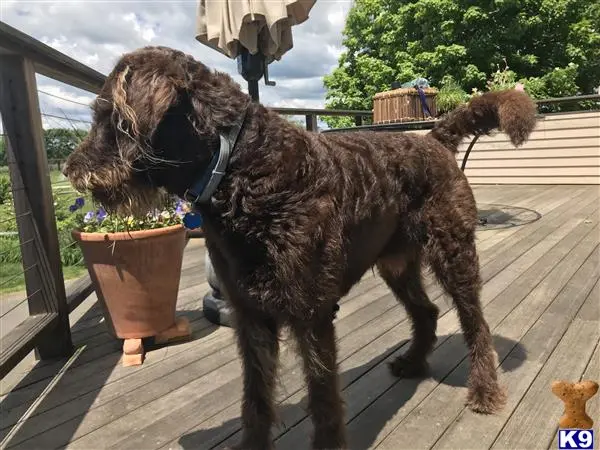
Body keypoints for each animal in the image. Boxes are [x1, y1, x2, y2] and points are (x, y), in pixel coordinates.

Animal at [63, 46, 536, 450]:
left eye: (108, 116)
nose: (69, 169)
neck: (241, 169)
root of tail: (432, 139)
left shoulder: (311, 315)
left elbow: (323, 398)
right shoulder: (251, 315)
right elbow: (255, 398)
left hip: (453, 253)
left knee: (475, 324)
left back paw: (485, 390)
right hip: (397, 264)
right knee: (427, 311)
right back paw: (414, 362)